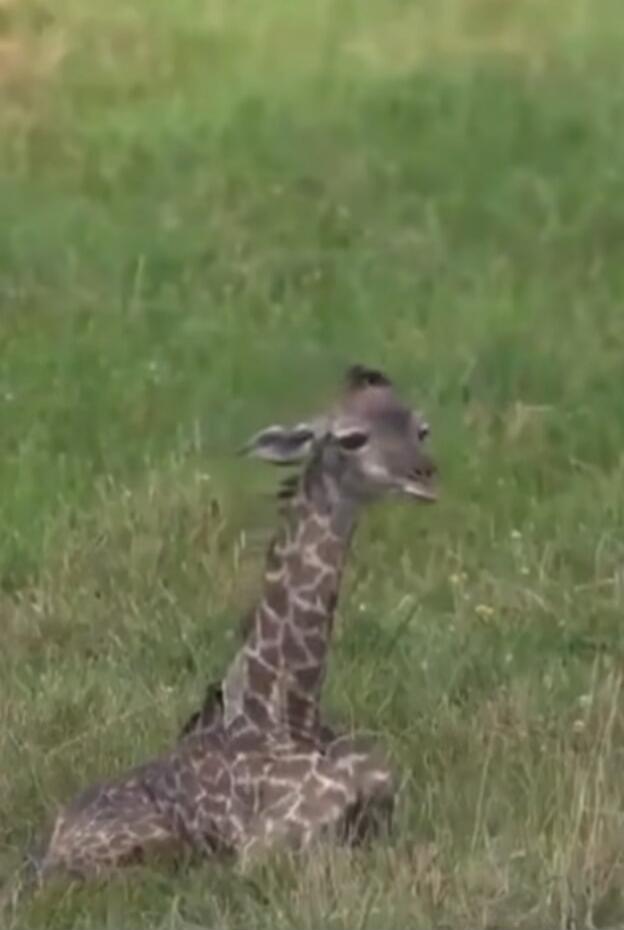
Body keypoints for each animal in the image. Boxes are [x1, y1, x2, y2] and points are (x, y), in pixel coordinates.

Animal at [20, 364, 436, 885]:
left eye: (421, 429)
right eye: (352, 438)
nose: (425, 474)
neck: (289, 711)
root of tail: (39, 852)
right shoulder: (262, 847)